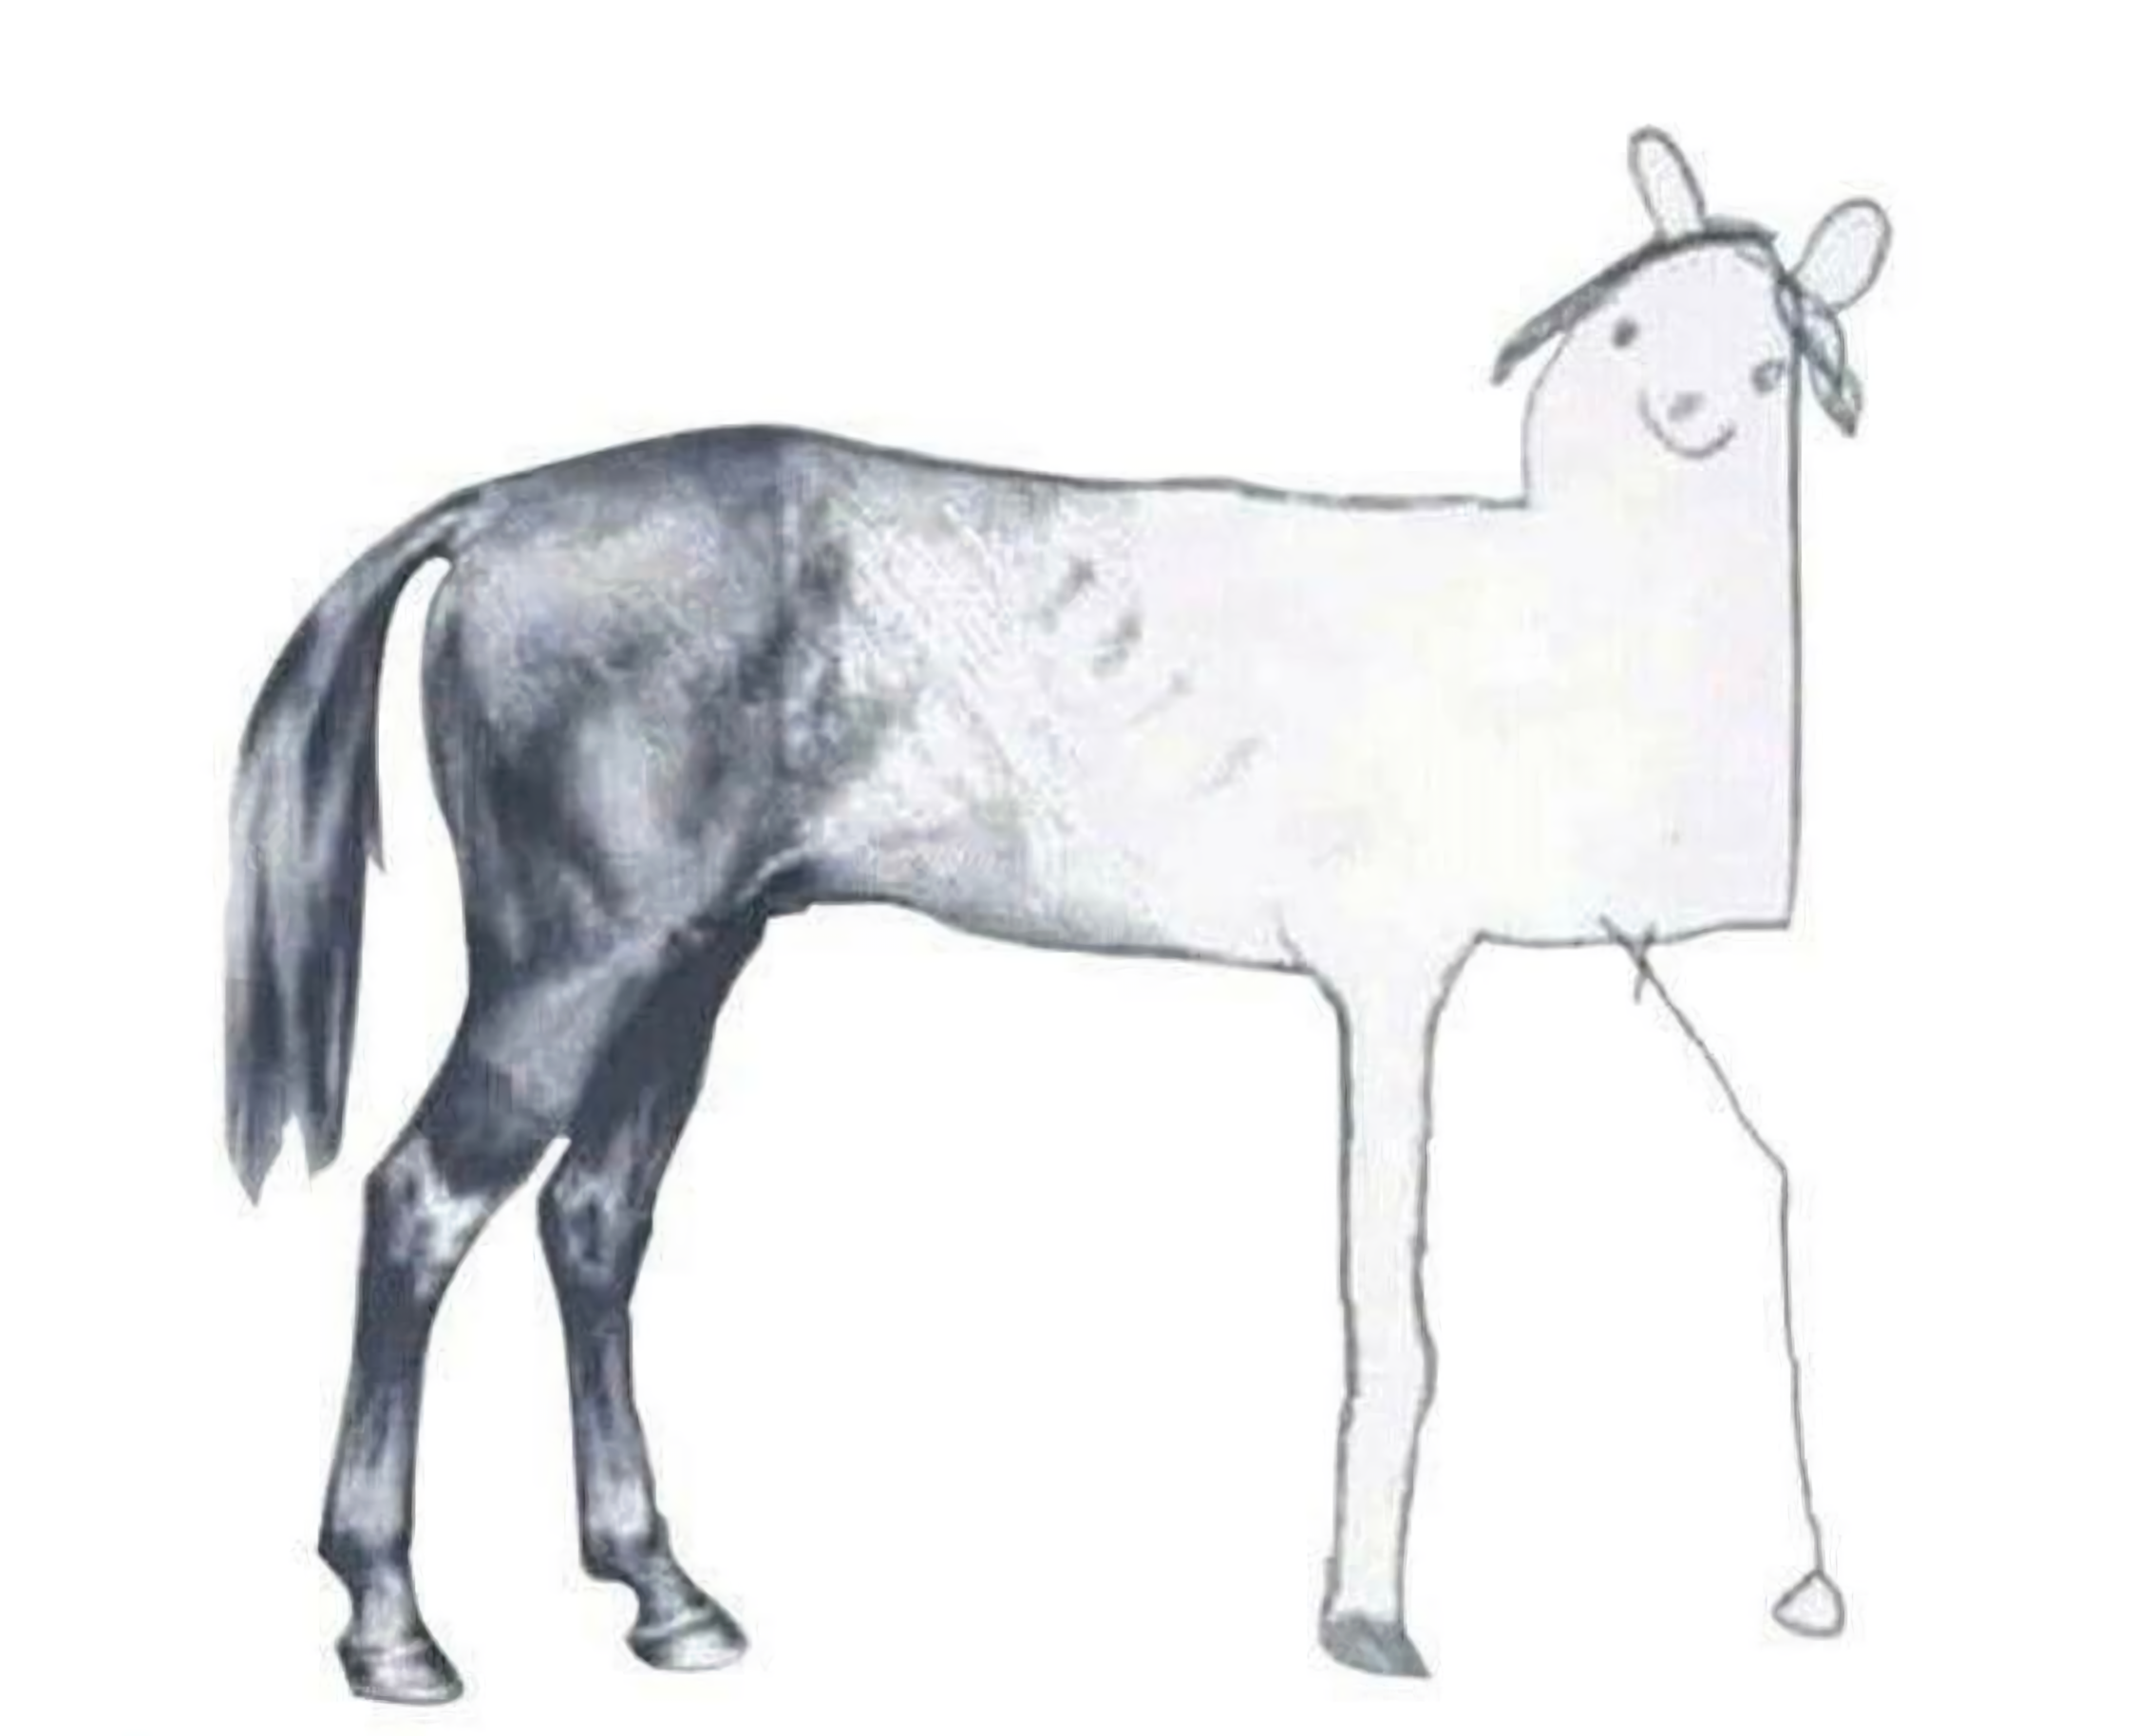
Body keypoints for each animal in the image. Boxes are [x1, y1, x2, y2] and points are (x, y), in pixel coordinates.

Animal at [226, 128, 1889, 1701]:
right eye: (1623, 330)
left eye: (1771, 359)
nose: (1694, 416)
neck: (1530, 631)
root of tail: (493, 508)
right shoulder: (1391, 976)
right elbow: (1387, 1308)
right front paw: (1367, 1623)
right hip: (571, 959)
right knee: (425, 1197)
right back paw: (391, 1628)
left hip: (693, 957)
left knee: (592, 1218)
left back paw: (670, 1597)